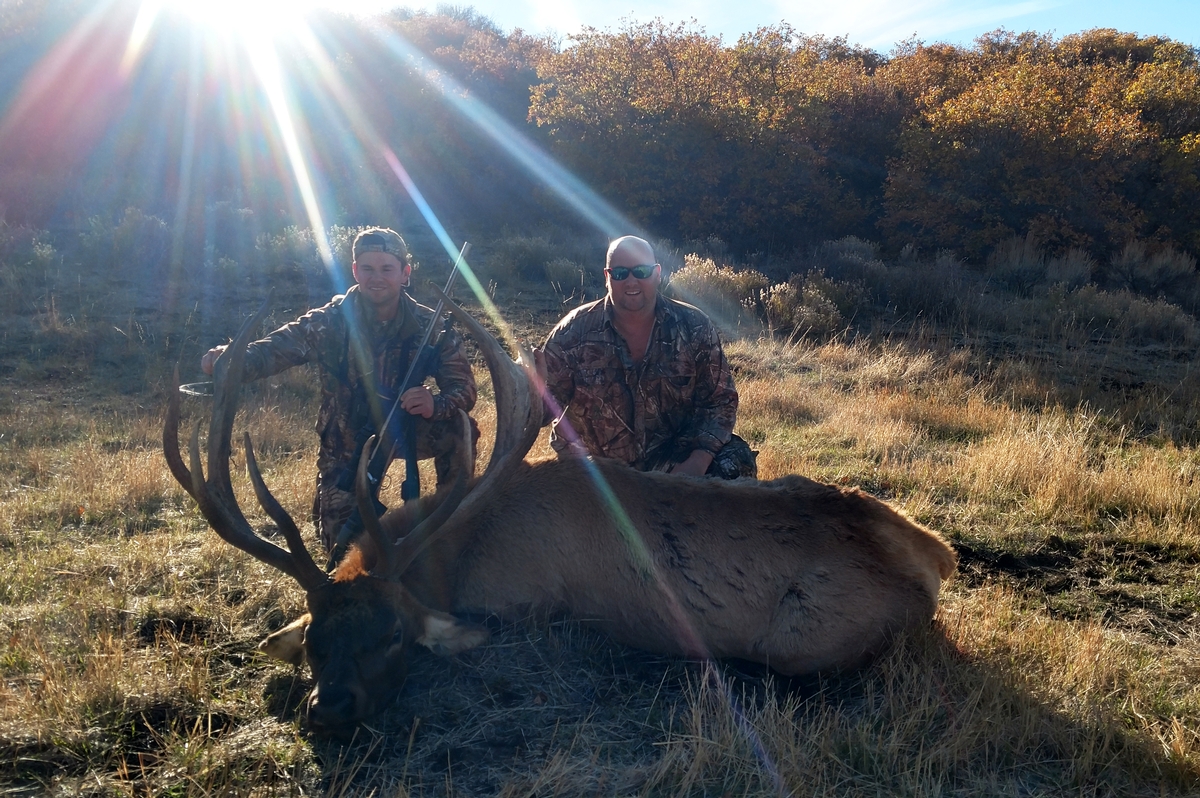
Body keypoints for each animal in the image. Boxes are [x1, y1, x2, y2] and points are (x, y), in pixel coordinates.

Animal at [164, 292, 958, 729]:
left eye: (392, 635)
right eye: (316, 639)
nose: (328, 709)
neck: (456, 555)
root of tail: (936, 559)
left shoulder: (527, 603)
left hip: (812, 639)